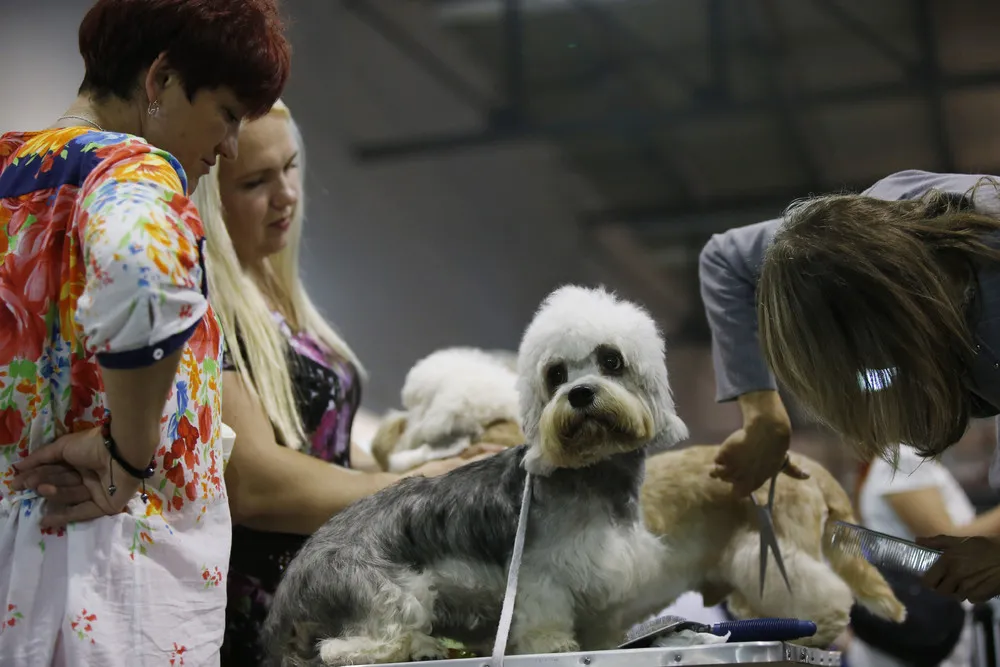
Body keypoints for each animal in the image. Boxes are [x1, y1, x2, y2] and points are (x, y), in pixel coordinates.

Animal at [258, 284, 688, 664]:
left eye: (611, 360)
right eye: (556, 374)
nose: (579, 394)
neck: (590, 473)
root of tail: (294, 575)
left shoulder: (609, 586)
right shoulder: (542, 574)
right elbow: (545, 618)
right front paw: (553, 644)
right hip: (396, 593)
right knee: (344, 649)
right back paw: (420, 647)